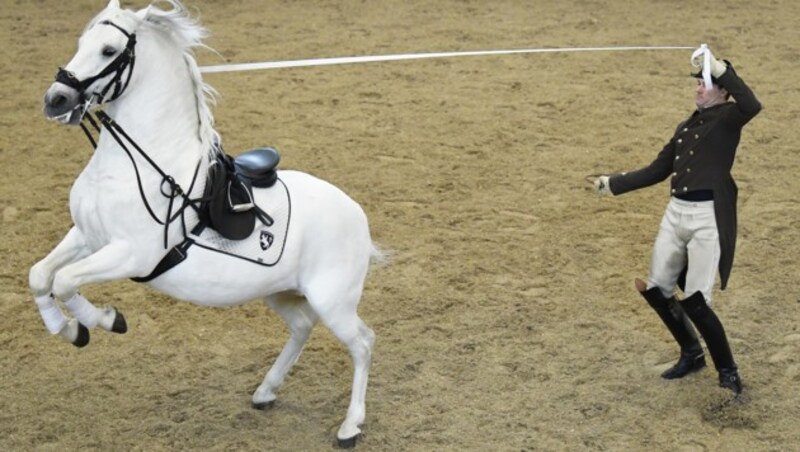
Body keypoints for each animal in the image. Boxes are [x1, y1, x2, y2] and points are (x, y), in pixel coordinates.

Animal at [30, 0, 382, 444]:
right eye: (80, 42)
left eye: (109, 50)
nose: (55, 99)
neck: (139, 165)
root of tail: (357, 213)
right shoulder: (87, 237)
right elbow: (40, 276)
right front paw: (71, 331)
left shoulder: (130, 255)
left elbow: (64, 281)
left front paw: (107, 321)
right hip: (280, 292)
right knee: (303, 328)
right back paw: (265, 391)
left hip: (332, 301)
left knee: (363, 343)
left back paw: (350, 426)